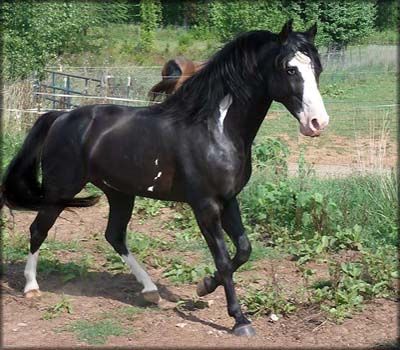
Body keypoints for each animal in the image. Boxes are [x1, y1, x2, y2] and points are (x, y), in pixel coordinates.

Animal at [2, 21, 328, 336]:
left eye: (317, 68)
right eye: (290, 69)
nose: (318, 123)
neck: (215, 129)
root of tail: (59, 117)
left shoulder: (228, 200)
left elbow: (244, 250)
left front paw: (204, 286)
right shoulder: (205, 206)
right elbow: (224, 259)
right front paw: (239, 320)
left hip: (119, 193)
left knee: (114, 235)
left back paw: (150, 291)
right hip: (61, 190)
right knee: (38, 230)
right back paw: (31, 288)